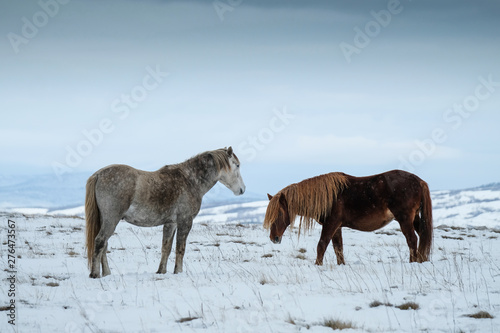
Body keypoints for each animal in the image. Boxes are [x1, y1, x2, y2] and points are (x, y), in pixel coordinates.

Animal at [86, 147, 246, 276]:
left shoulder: (171, 223)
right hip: (111, 220)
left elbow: (166, 248)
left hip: (105, 220)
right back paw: (95, 274)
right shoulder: (185, 221)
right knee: (100, 241)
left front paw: (161, 271)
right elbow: (180, 248)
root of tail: (98, 175)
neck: (190, 180)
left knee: (104, 245)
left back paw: (107, 274)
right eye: (237, 165)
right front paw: (178, 272)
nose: (242, 189)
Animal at [264, 170, 432, 264]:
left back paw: (412, 263)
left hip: (405, 219)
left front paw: (317, 265)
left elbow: (321, 245)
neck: (328, 197)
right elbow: (338, 248)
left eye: (279, 213)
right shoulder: (337, 227)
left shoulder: (331, 224)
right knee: (422, 236)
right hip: (414, 218)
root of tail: (419, 181)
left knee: (412, 239)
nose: (274, 238)